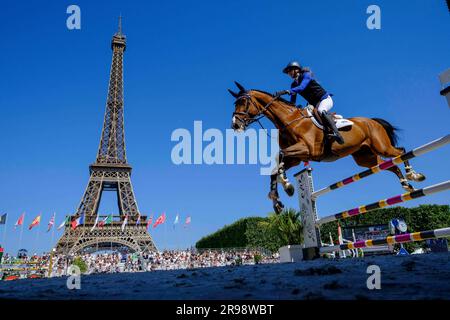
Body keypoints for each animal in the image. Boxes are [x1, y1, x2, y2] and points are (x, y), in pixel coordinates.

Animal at [229, 81, 426, 214]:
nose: (235, 125)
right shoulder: (297, 158)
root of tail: (372, 121)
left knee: (401, 152)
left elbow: (281, 158)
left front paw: (287, 186)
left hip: (381, 146)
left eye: (243, 102)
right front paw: (276, 201)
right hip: (366, 158)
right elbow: (276, 167)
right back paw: (406, 185)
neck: (289, 121)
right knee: (390, 165)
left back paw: (414, 175)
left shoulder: (307, 150)